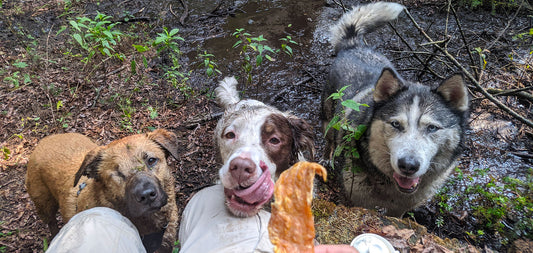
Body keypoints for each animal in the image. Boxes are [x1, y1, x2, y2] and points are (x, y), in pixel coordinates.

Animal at [26, 129, 180, 252]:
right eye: (116, 173)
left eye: (151, 160)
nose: (146, 195)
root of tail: (46, 139)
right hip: (44, 205)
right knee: (51, 222)